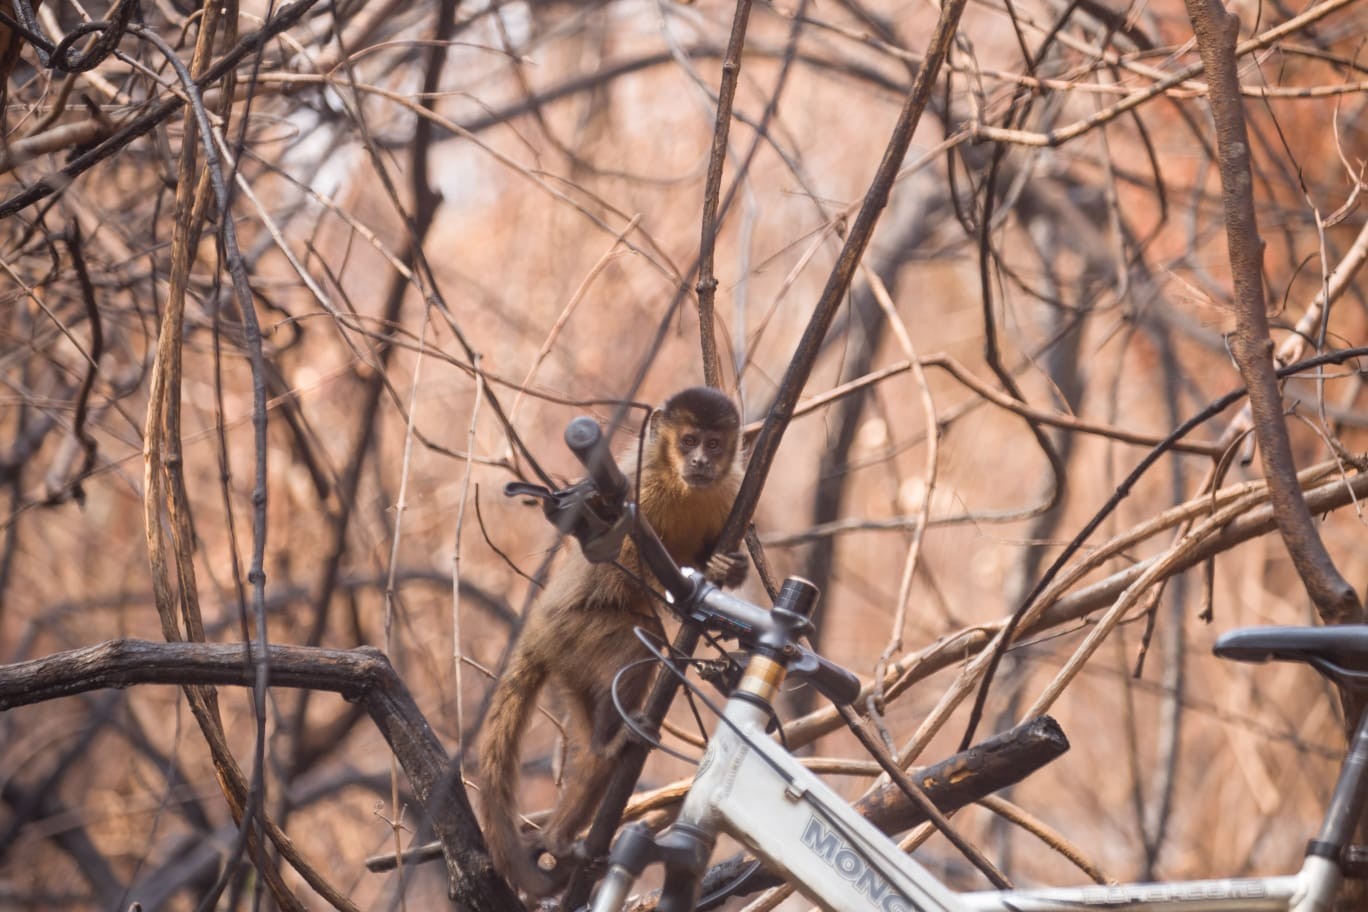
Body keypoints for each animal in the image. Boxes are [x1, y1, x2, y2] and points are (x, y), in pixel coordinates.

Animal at [476, 385, 744, 896]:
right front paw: (686, 594)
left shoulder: (728, 494)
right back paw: (609, 745)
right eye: (688, 441)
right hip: (571, 633)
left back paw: (562, 835)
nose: (701, 460)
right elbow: (624, 558)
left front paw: (725, 569)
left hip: (568, 665)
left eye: (715, 445)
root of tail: (536, 629)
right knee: (639, 640)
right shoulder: (641, 486)